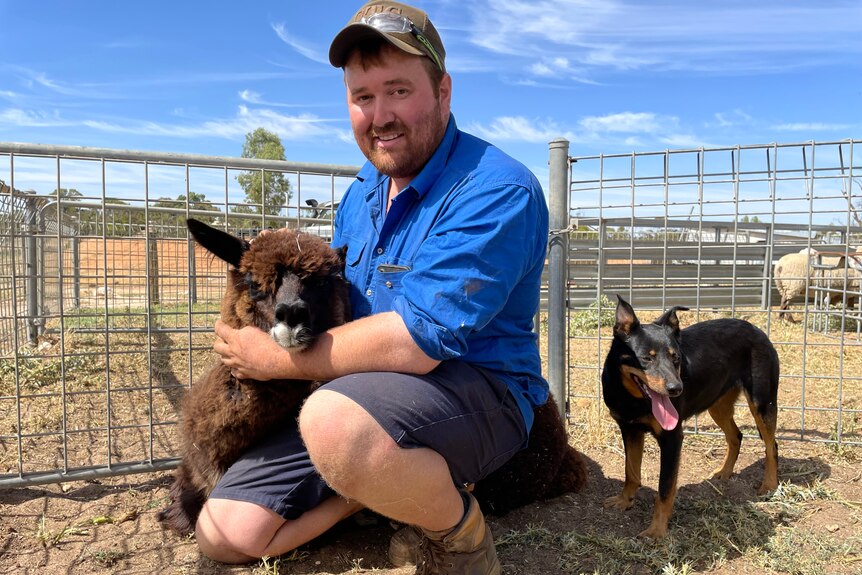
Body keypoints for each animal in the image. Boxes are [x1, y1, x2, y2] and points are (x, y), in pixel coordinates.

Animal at [600, 296, 784, 540]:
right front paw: (624, 501)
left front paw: (657, 530)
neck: (633, 399)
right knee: (736, 436)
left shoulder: (672, 438)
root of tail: (756, 329)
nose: (676, 389)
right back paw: (724, 472)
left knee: (771, 445)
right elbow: (630, 471)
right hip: (718, 404)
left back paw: (769, 484)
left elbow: (665, 488)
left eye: (676, 358)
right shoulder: (629, 429)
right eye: (646, 359)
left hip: (762, 403)